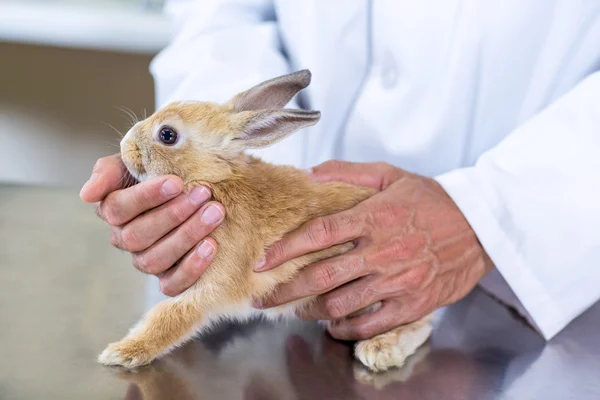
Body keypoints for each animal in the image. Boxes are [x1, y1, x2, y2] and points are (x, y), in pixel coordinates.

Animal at [98, 70, 432, 374]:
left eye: (167, 135)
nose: (125, 145)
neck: (215, 179)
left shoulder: (214, 284)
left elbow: (170, 315)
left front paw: (122, 352)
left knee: (421, 324)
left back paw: (380, 349)